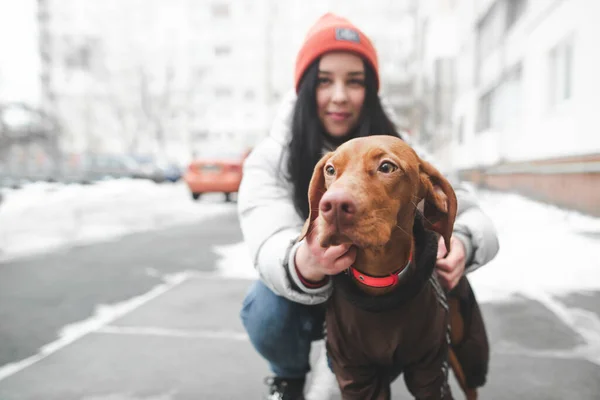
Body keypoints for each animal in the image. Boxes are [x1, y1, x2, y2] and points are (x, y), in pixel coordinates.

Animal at [298, 136, 486, 398]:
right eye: (330, 170)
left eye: (387, 167)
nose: (332, 205)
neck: (379, 281)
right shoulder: (355, 375)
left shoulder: (431, 371)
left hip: (468, 353)